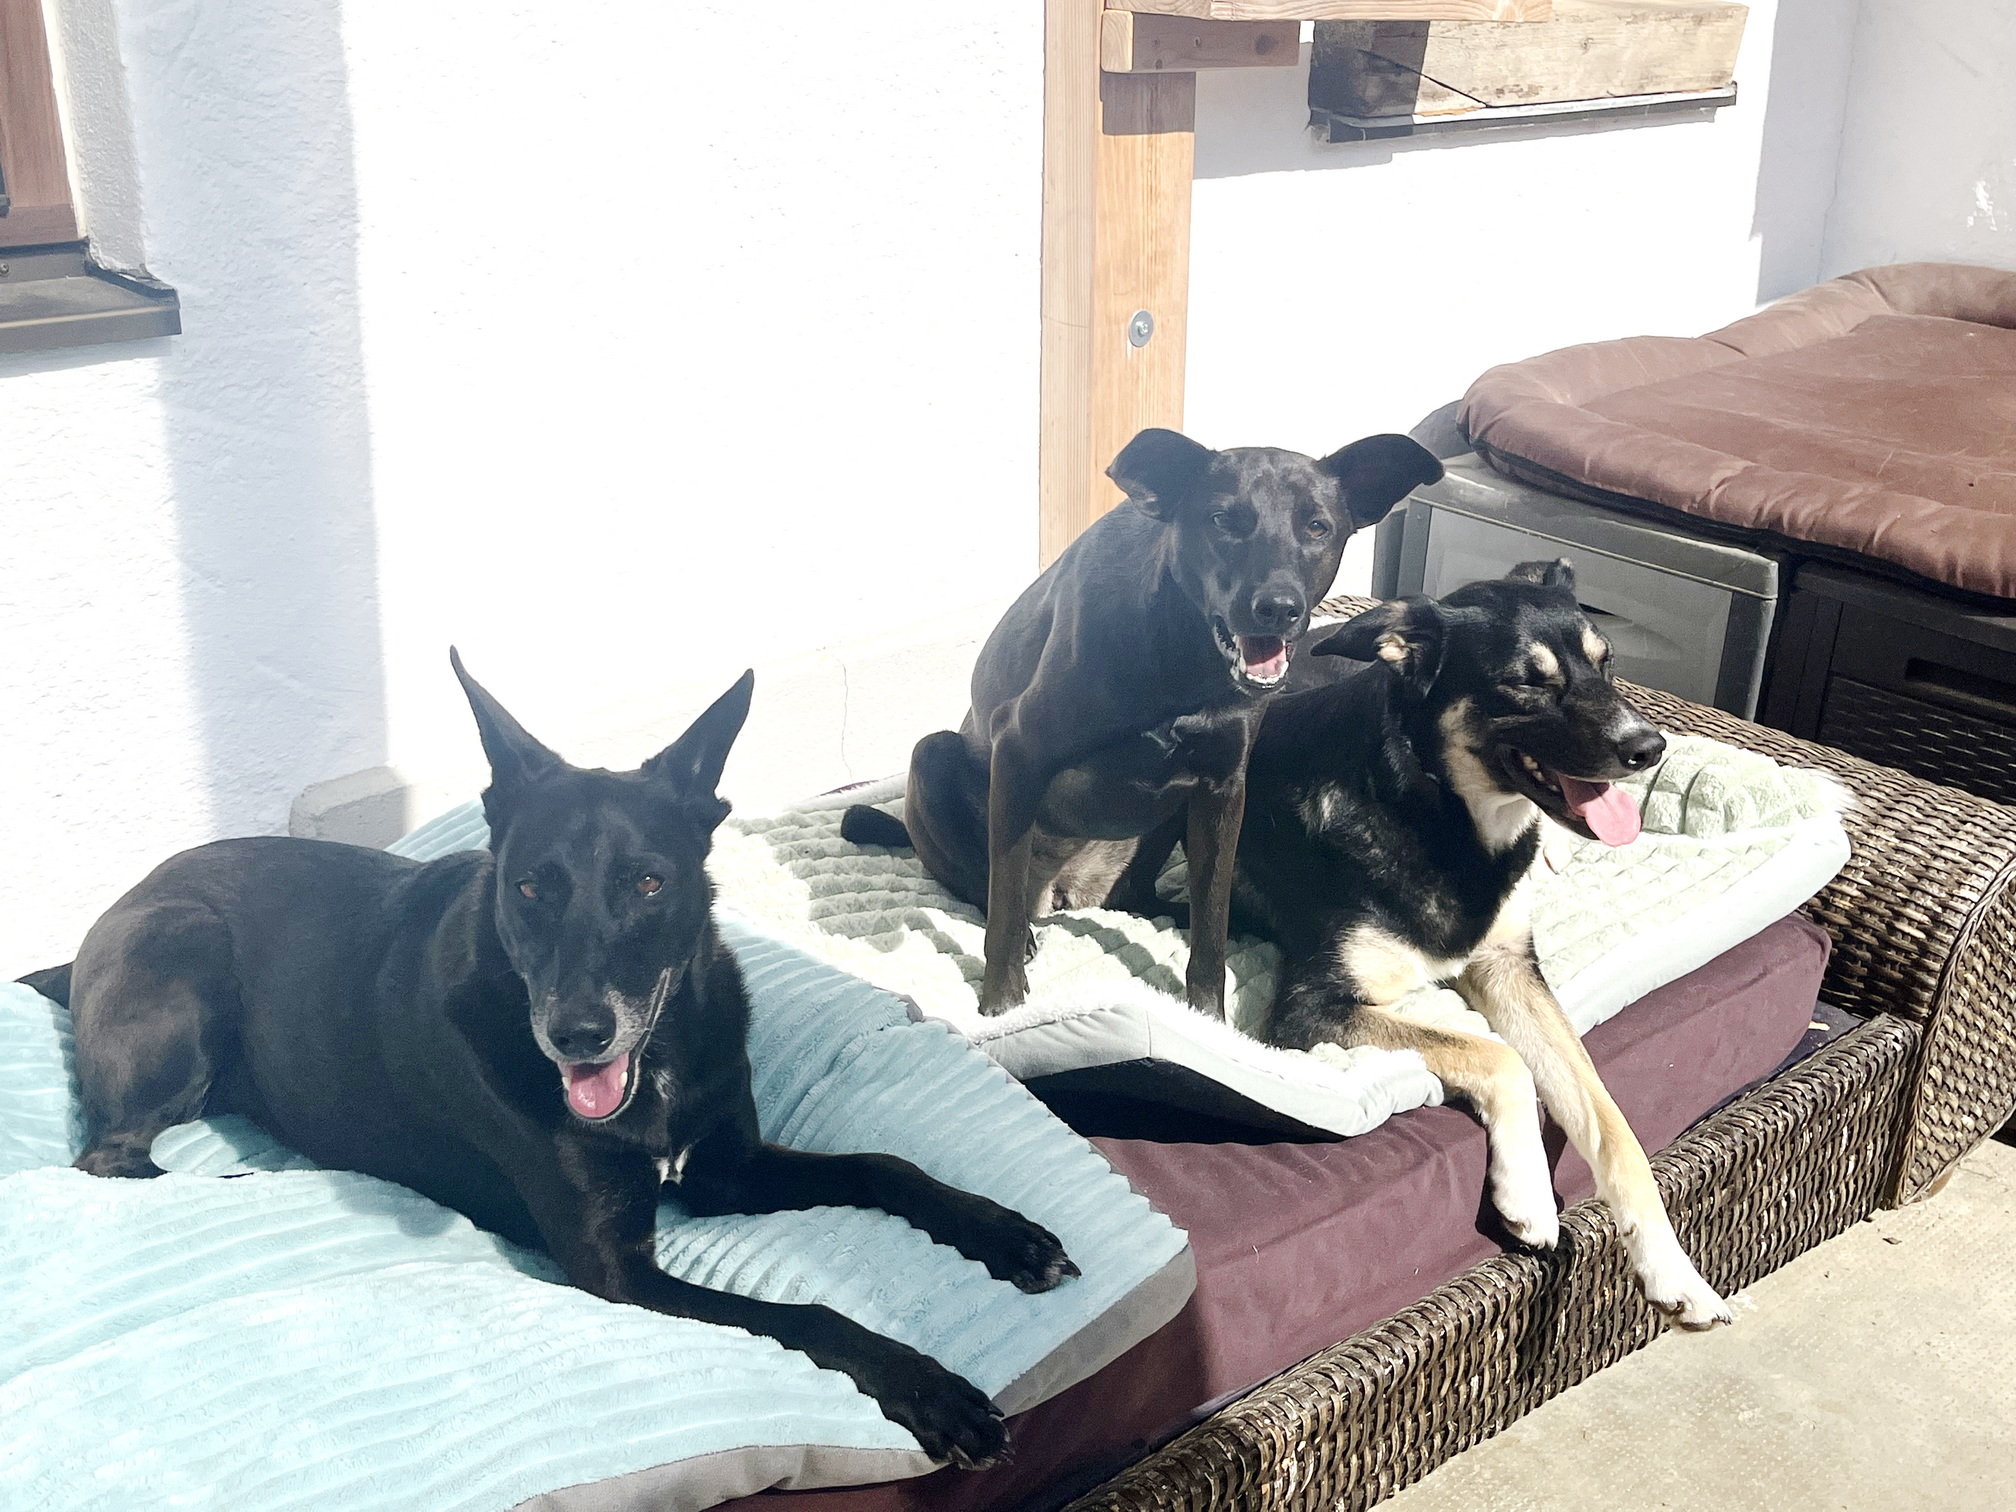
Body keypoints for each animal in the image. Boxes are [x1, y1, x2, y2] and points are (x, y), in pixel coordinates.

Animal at [43, 654, 1077, 1466]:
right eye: (531, 886)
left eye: (649, 882)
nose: (577, 1034)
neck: (656, 1067)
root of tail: (119, 904)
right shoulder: (614, 1269)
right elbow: (812, 1315)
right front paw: (934, 1390)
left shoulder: (730, 1170)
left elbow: (886, 1164)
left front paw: (1005, 1233)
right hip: (182, 972)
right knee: (109, 1157)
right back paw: (247, 1176)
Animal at [842, 427, 1442, 1018]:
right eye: (1222, 520)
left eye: (1317, 527)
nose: (1278, 608)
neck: (1182, 659)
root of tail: (1070, 889)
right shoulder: (1016, 752)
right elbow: (1004, 913)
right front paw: (1003, 1005)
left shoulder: (1223, 791)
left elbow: (1211, 927)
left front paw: (1209, 1019)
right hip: (934, 756)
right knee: (984, 885)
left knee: (1144, 899)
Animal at [1232, 561, 1731, 1328]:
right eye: (1526, 681)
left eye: (1607, 661)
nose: (1649, 749)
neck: (1442, 815)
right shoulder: (1310, 1008)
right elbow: (1497, 1056)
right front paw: (1528, 1196)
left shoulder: (1510, 969)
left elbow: (1610, 1121)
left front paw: (1675, 1273)